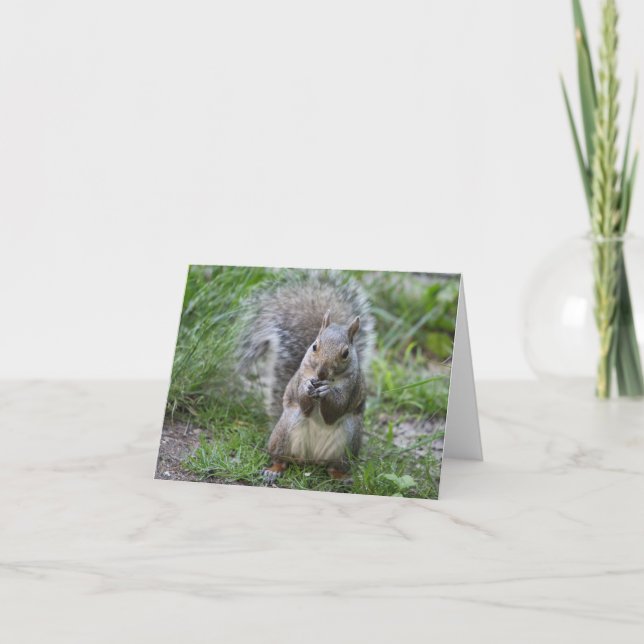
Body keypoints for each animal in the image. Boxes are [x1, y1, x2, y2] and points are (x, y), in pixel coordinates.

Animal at [238, 273, 375, 482]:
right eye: (314, 346)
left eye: (345, 353)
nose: (321, 373)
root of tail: (312, 460)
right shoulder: (301, 376)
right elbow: (303, 402)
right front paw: (306, 388)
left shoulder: (351, 386)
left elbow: (335, 409)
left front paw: (327, 392)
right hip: (284, 433)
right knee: (282, 459)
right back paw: (273, 470)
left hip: (348, 442)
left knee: (334, 467)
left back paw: (342, 477)